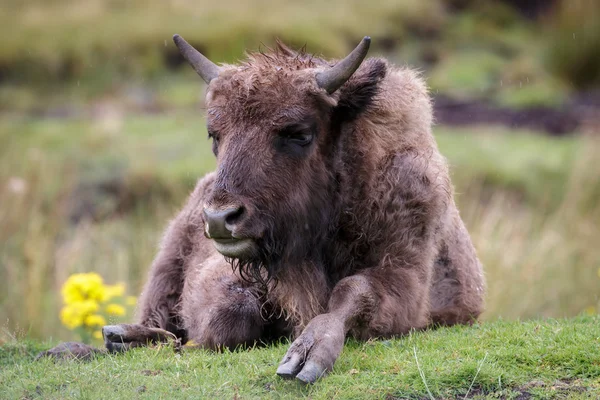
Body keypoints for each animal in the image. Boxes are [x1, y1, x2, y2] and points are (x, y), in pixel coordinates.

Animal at [42, 36, 486, 384]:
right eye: (214, 134)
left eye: (299, 133)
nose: (220, 218)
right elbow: (232, 313)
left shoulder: (407, 280)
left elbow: (353, 290)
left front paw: (304, 357)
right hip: (165, 268)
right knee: (158, 320)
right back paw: (99, 342)